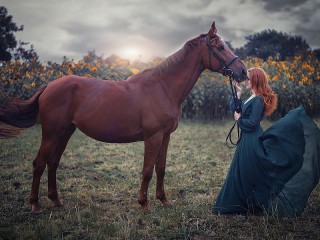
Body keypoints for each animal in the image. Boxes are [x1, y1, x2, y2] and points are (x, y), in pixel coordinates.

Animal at [0, 21, 248, 213]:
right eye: (220, 47)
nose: (243, 72)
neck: (163, 87)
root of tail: (49, 85)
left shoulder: (166, 137)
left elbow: (161, 169)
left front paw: (163, 200)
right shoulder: (153, 137)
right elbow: (147, 170)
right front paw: (144, 204)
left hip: (65, 132)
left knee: (53, 163)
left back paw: (56, 201)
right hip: (51, 133)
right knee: (39, 163)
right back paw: (35, 205)